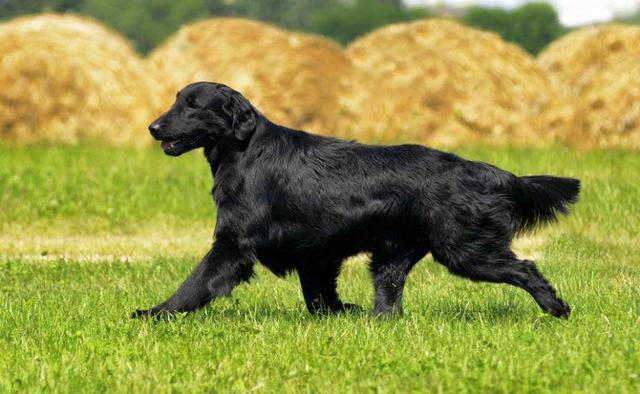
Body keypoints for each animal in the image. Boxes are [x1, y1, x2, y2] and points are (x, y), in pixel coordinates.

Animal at [134, 81, 580, 318]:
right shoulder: (314, 252)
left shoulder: (234, 243)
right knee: (389, 298)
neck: (245, 151)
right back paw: (376, 321)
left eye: (193, 105)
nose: (153, 127)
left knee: (526, 267)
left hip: (464, 250)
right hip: (392, 256)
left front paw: (155, 313)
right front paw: (338, 314)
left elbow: (197, 282)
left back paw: (555, 307)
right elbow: (318, 296)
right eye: (176, 99)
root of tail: (484, 170)